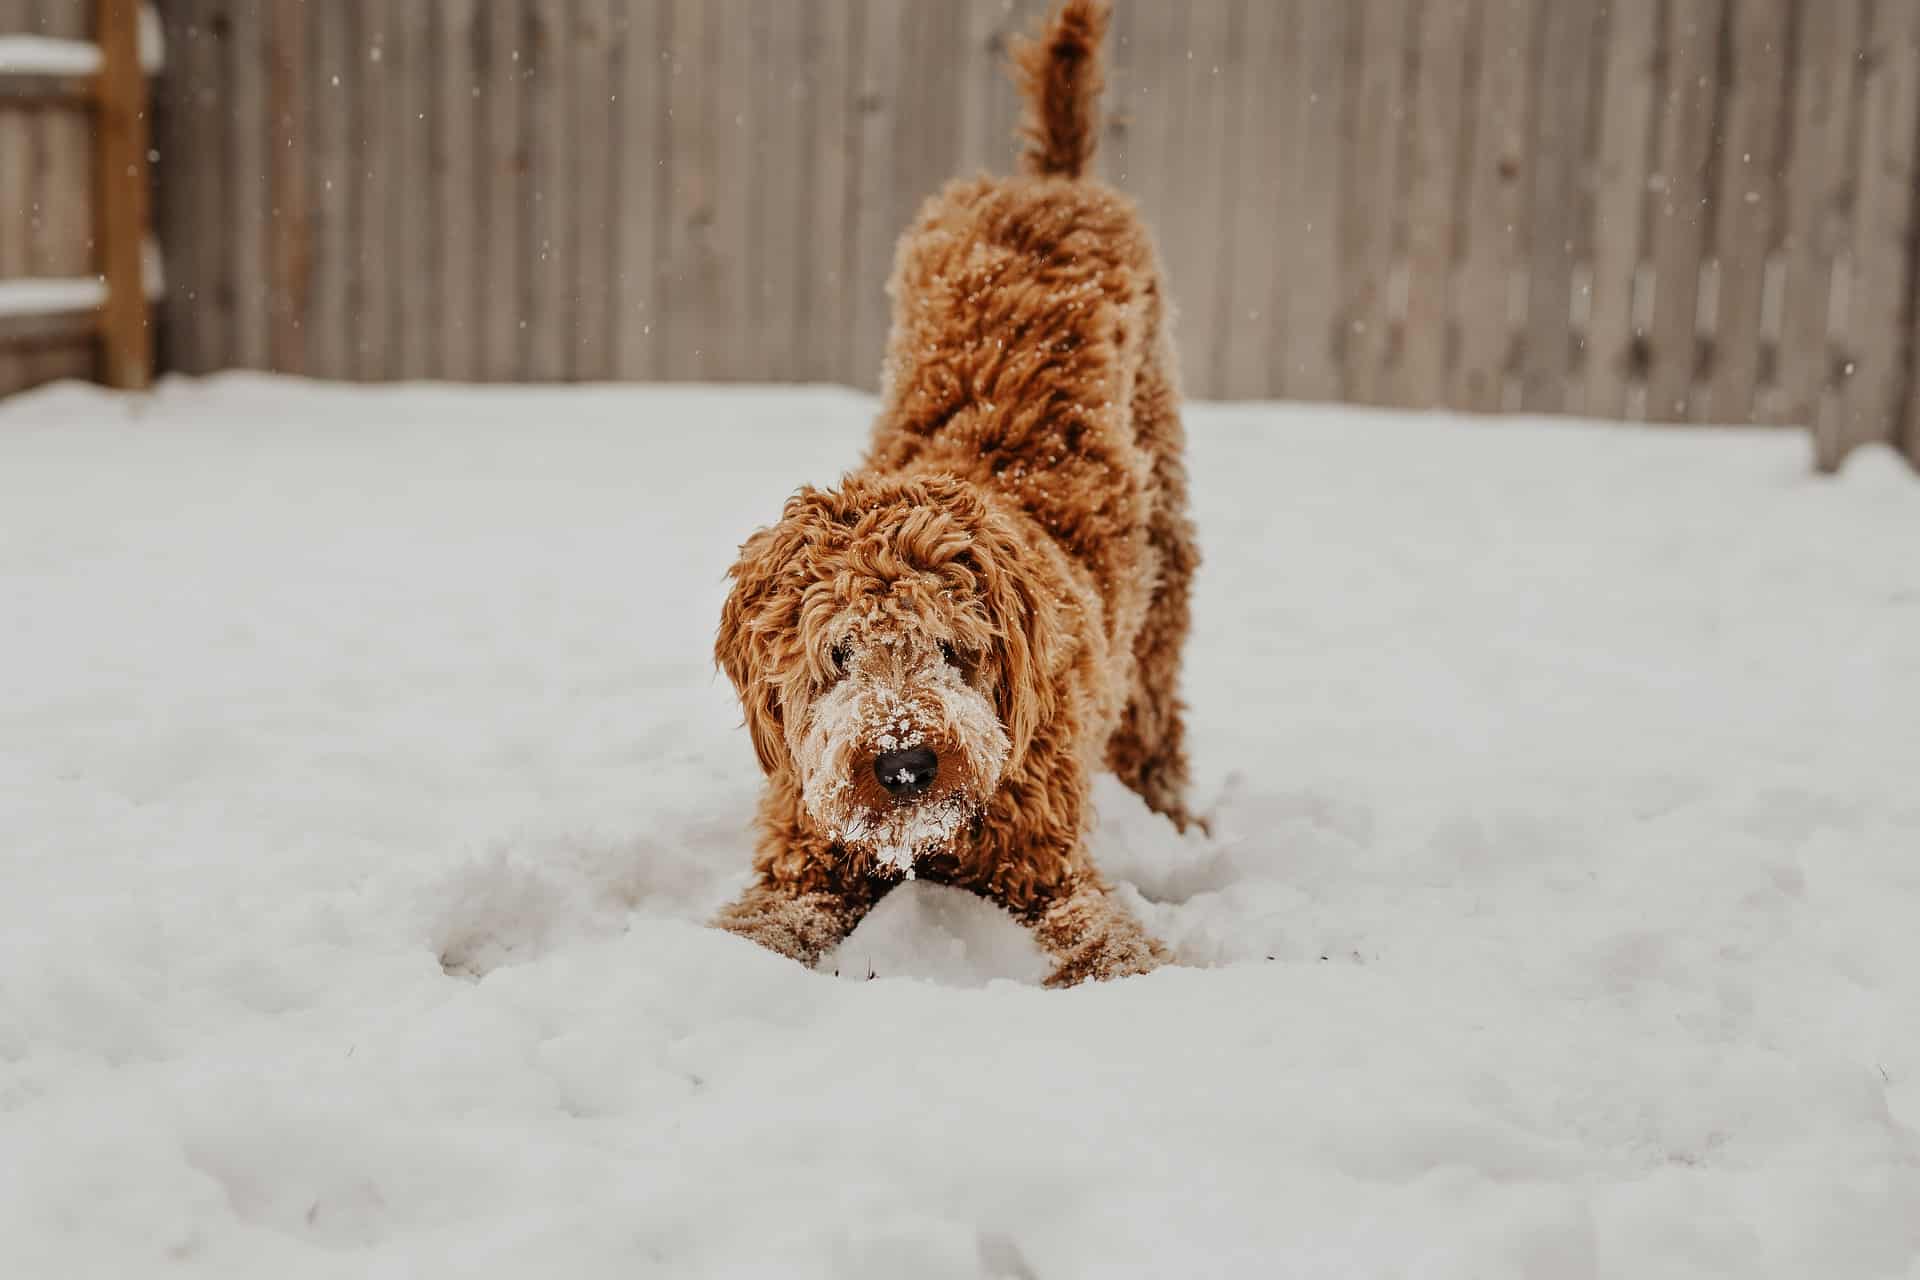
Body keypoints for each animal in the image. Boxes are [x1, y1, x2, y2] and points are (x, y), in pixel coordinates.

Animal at [718, 0, 1198, 990]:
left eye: (952, 647)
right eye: (838, 654)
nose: (904, 762)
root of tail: (1048, 180)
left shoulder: (1048, 861)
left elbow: (1105, 939)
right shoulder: (804, 852)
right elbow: (764, 923)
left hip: (1166, 536)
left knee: (1156, 701)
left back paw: (1171, 810)